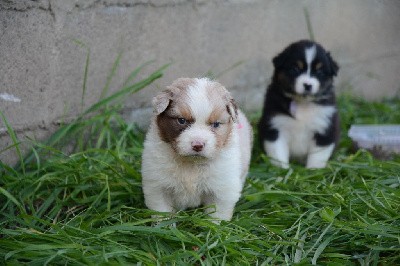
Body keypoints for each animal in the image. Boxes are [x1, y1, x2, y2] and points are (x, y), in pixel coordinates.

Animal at [142, 78, 252, 221]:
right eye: (181, 120)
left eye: (216, 124)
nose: (198, 145)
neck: (191, 165)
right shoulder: (158, 186)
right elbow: (162, 213)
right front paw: (164, 225)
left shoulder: (222, 189)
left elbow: (217, 216)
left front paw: (215, 226)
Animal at [258, 39, 340, 168]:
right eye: (295, 69)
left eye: (320, 72)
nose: (308, 85)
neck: (303, 103)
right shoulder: (275, 127)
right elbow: (278, 153)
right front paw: (283, 169)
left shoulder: (324, 128)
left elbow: (317, 156)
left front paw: (313, 170)